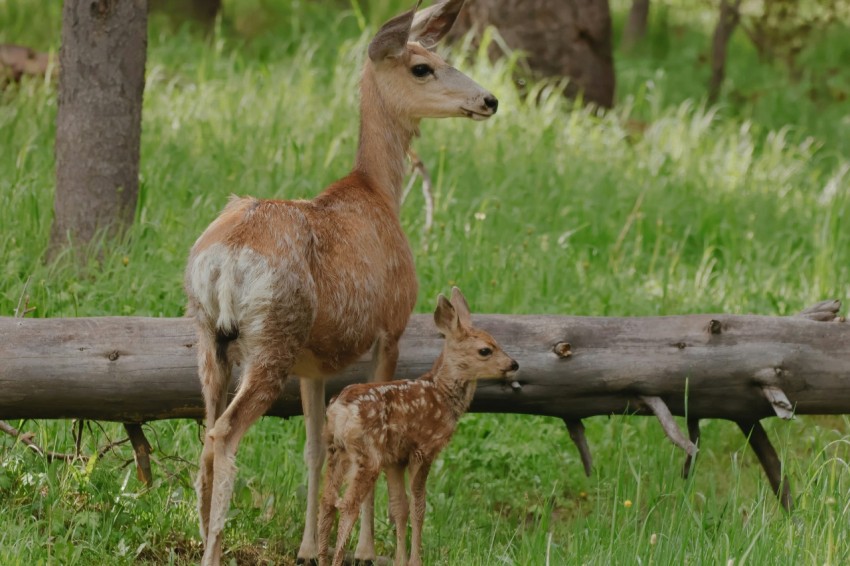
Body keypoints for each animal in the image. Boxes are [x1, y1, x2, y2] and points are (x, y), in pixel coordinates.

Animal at [182, 2, 494, 564]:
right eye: (422, 67)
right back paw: (214, 547)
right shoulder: (391, 327)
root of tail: (225, 257)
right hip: (273, 337)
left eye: (442, 56)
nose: (489, 99)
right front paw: (365, 549)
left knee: (206, 434)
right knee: (224, 434)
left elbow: (313, 446)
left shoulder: (313, 363)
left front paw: (308, 546)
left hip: (208, 336)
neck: (379, 193)